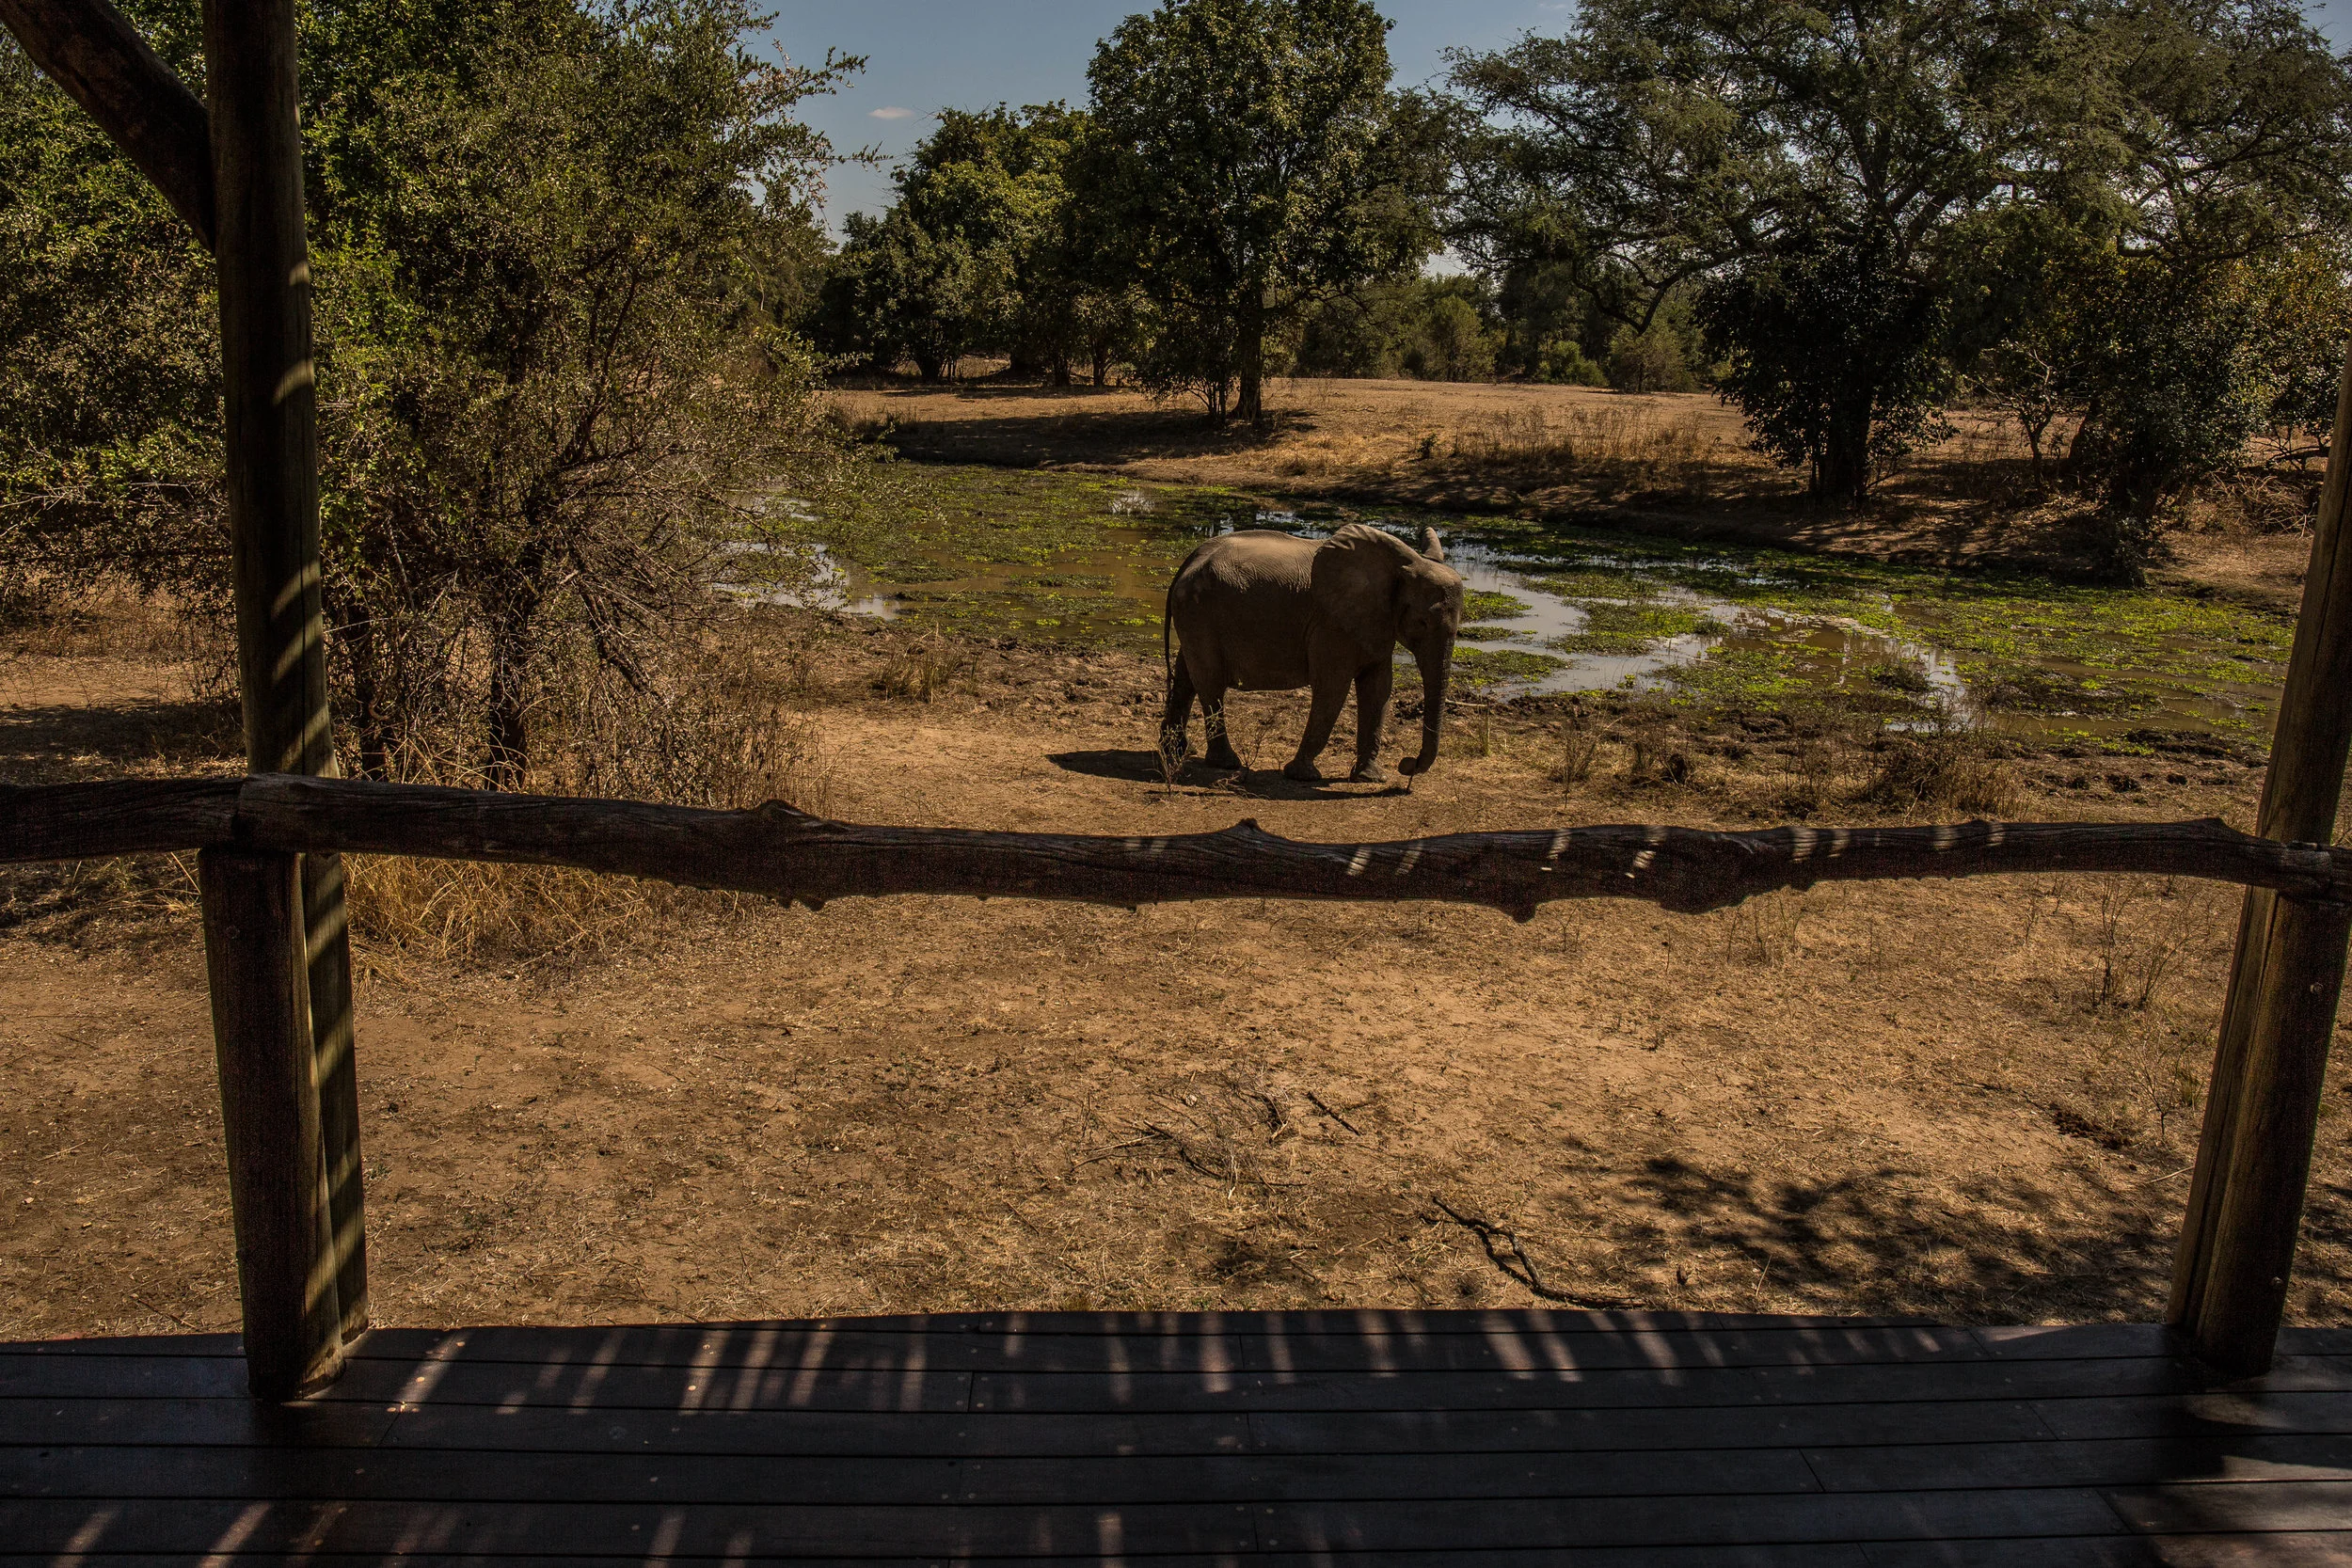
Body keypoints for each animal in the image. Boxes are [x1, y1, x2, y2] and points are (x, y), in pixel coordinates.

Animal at [1159, 522, 1465, 783]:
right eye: (1422, 622)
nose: (1407, 765)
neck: (1401, 566)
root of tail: (1189, 560)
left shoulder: (1375, 623)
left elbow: (1379, 690)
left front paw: (1370, 778)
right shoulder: (1332, 624)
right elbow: (1332, 688)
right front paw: (1303, 776)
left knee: (1187, 676)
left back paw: (1177, 750)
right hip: (1199, 611)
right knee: (1210, 682)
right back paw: (1225, 763)